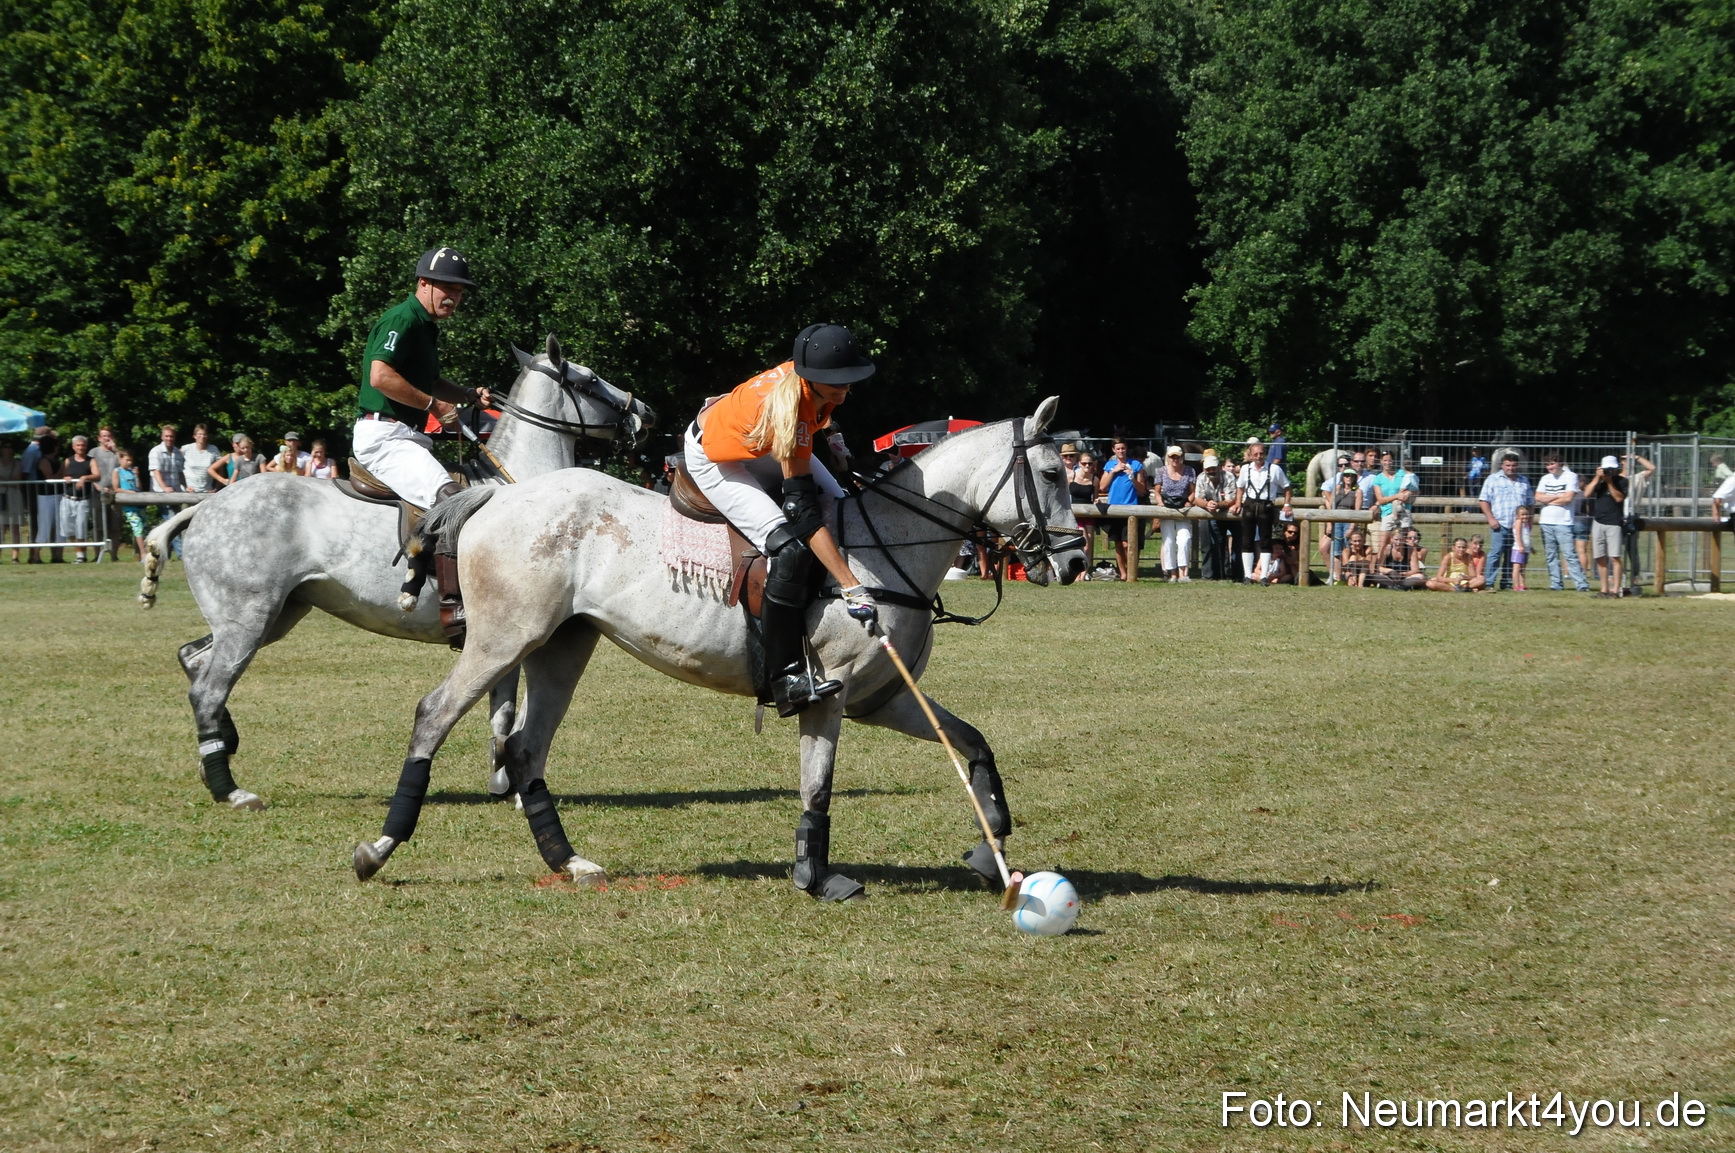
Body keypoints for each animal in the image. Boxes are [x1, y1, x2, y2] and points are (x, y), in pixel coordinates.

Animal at [140, 335, 655, 811]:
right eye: (589, 379)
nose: (646, 413)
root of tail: (203, 507)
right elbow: (503, 711)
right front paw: (511, 784)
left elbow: (501, 712)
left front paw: (502, 781)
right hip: (248, 617)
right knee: (209, 687)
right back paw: (229, 788)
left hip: (276, 614)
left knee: (194, 659)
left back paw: (220, 748)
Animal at [349, 396, 1088, 898]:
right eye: (1053, 473)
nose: (1077, 561)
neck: (884, 551)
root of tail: (491, 499)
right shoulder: (830, 693)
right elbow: (817, 786)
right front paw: (816, 877)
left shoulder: (882, 698)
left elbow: (973, 743)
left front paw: (989, 847)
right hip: (504, 637)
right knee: (436, 714)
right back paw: (378, 849)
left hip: (563, 643)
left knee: (527, 747)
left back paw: (570, 861)